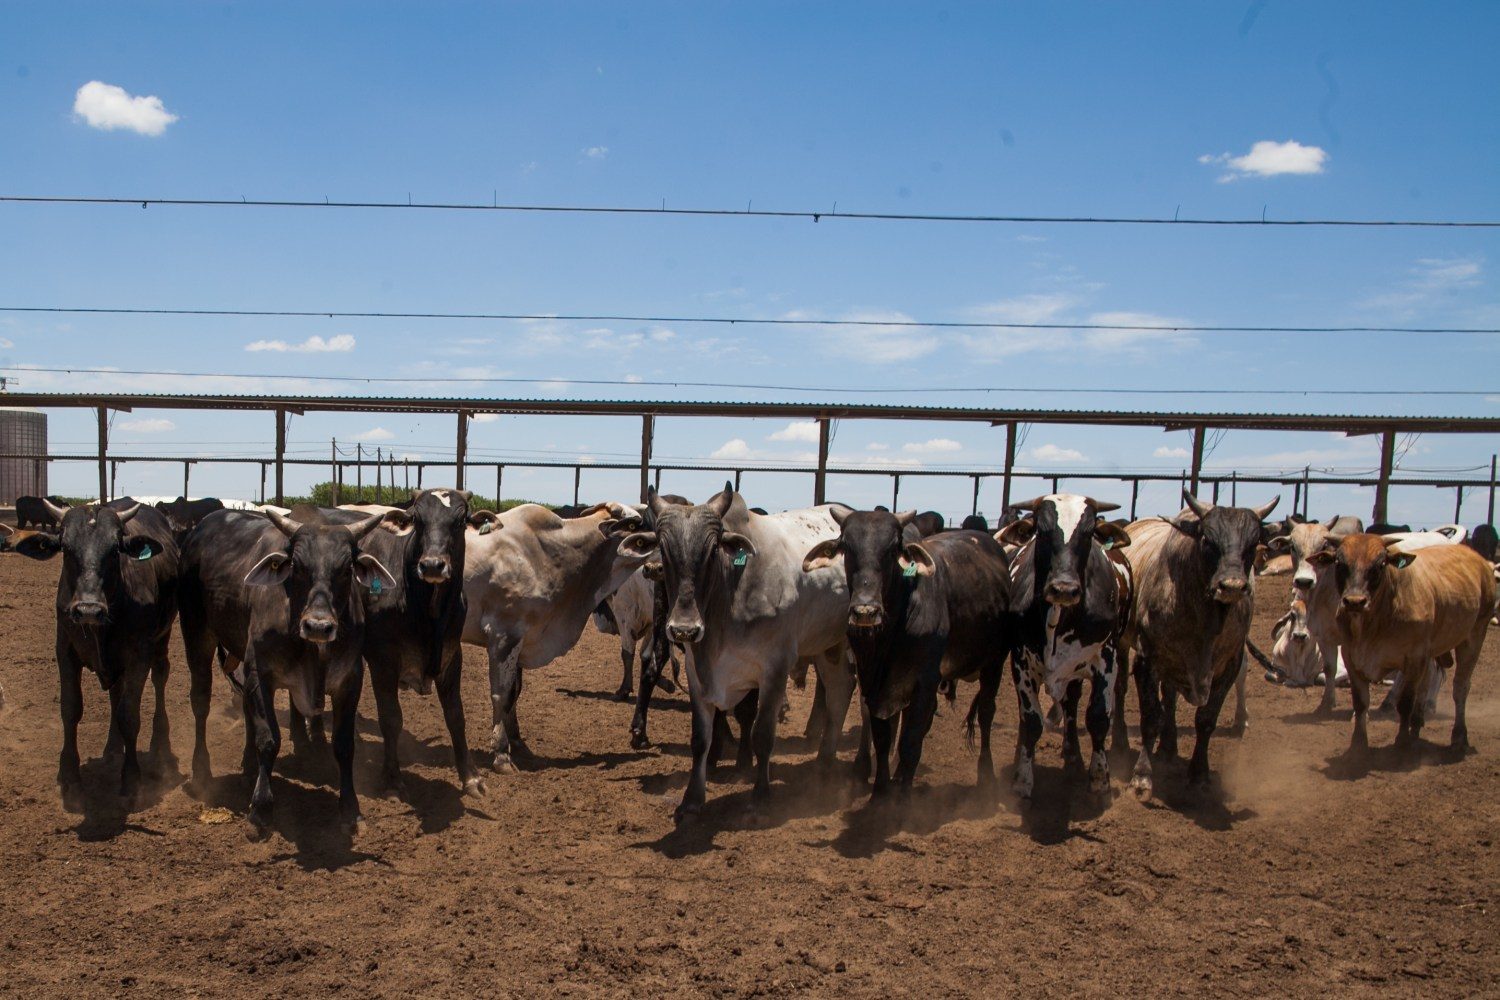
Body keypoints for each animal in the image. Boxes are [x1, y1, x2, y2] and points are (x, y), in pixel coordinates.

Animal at [9, 497, 178, 809]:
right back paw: (112, 747)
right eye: (65, 547)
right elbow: (71, 709)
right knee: (115, 693)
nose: (88, 609)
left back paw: (159, 746)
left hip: (163, 638)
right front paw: (69, 775)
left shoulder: (139, 655)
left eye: (115, 549)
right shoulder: (65, 650)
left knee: (160, 677)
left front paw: (131, 779)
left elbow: (129, 715)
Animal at [179, 512, 393, 833]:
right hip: (197, 635)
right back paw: (202, 771)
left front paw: (350, 808)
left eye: (346, 569)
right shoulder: (260, 674)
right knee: (200, 702)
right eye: (298, 566)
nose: (318, 626)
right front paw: (260, 808)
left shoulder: (350, 680)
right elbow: (269, 739)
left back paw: (248, 767)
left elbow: (344, 745)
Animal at [810, 512, 1008, 791]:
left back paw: (986, 775)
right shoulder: (874, 681)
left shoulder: (924, 682)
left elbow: (910, 743)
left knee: (986, 713)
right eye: (846, 546)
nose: (865, 611)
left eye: (893, 548)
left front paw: (901, 795)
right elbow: (884, 738)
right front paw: (881, 790)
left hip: (995, 662)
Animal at [1002, 497, 1128, 803]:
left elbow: (1098, 718)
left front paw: (1100, 780)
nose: (1064, 588)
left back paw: (1073, 754)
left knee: (1072, 704)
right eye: (1042, 530)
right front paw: (1022, 779)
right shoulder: (1021, 661)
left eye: (1089, 532)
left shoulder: (1106, 659)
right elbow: (1031, 721)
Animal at [1308, 536, 1494, 755]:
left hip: (1474, 636)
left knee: (1461, 687)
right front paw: (1358, 745)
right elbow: (1361, 703)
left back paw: (1459, 736)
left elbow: (1405, 702)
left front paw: (1402, 742)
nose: (1354, 601)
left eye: (1380, 564)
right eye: (1339, 563)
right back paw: (1417, 723)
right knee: (1427, 682)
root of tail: (1478, 559)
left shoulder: (1413, 658)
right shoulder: (1351, 657)